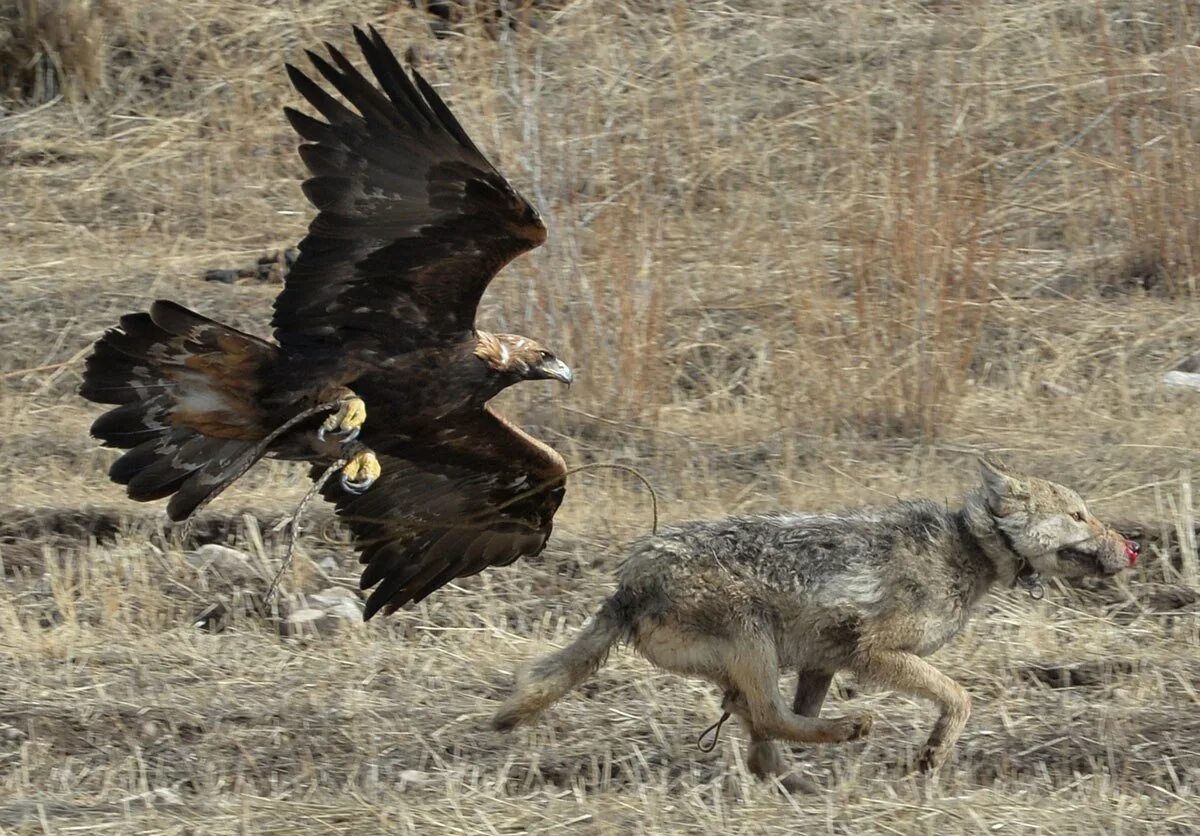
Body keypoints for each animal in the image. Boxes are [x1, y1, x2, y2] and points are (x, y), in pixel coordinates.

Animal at [492, 460, 1137, 786]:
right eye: (1080, 515)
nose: (1132, 548)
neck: (967, 549)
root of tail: (626, 585)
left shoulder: (824, 663)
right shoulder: (875, 654)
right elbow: (960, 698)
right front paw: (932, 754)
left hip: (752, 667)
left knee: (764, 743)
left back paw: (805, 782)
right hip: (754, 642)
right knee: (771, 721)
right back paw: (851, 730)